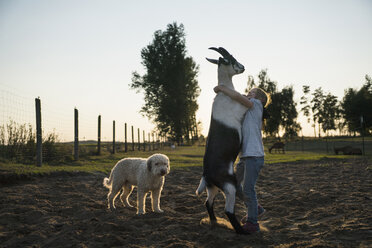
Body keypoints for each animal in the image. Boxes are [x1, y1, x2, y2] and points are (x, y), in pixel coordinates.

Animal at [196, 47, 248, 234]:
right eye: (230, 59)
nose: (243, 67)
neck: (226, 94)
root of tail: (207, 174)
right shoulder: (243, 108)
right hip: (230, 187)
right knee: (228, 210)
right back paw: (242, 231)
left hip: (213, 188)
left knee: (207, 203)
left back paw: (214, 223)